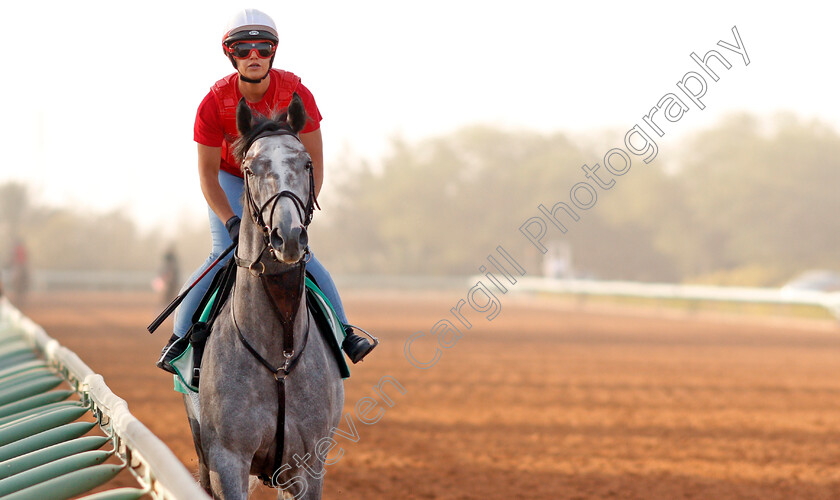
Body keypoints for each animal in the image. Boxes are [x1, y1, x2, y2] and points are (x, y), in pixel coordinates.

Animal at [186, 94, 344, 500]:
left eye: (307, 163)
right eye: (249, 168)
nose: (287, 236)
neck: (279, 353)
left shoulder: (308, 465)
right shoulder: (226, 459)